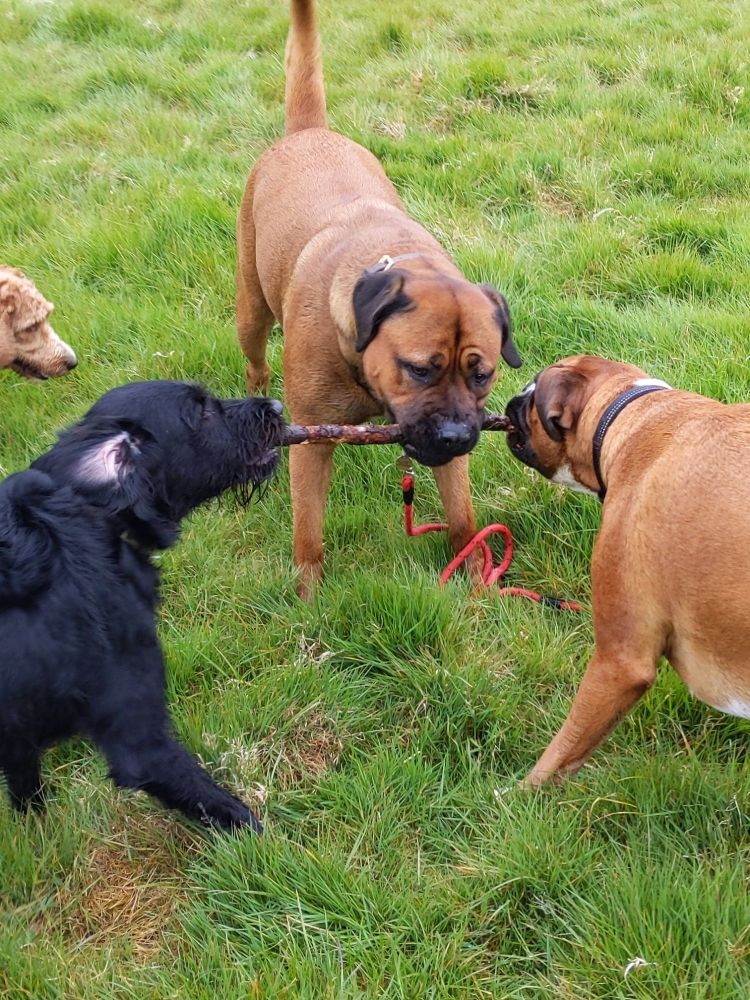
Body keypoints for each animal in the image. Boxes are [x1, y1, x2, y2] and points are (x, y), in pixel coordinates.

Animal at [0, 378, 284, 832]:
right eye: (201, 410)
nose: (277, 405)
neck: (93, 516)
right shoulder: (140, 743)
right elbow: (226, 809)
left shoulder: (17, 739)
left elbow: (27, 793)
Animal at [236, 0, 524, 592]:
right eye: (418, 368)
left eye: (481, 375)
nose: (457, 434)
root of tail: (310, 131)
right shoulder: (313, 442)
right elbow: (308, 532)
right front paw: (308, 595)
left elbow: (463, 518)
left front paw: (475, 577)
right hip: (250, 309)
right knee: (255, 359)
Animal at [502, 356, 750, 784]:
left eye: (532, 393)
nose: (512, 400)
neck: (634, 416)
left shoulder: (619, 664)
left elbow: (562, 750)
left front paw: (518, 795)